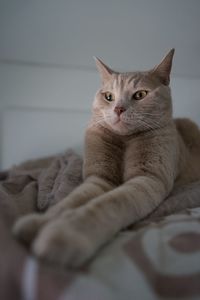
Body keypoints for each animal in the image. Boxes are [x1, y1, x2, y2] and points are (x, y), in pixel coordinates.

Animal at [13, 49, 200, 268]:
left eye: (140, 95)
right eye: (109, 97)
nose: (118, 109)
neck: (125, 141)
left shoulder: (147, 179)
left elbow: (104, 205)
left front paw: (65, 235)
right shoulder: (99, 178)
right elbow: (71, 201)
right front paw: (39, 223)